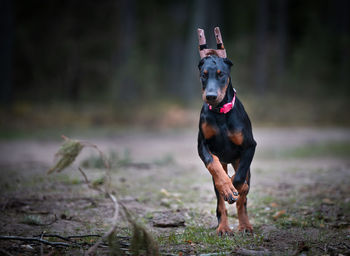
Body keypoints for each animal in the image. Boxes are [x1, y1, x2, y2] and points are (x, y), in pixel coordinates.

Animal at [197, 27, 258, 235]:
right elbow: (211, 162)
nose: (210, 96)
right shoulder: (202, 145)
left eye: (221, 74)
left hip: (241, 162)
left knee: (242, 201)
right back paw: (223, 227)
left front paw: (235, 185)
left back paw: (245, 224)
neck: (220, 113)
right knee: (220, 202)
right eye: (204, 74)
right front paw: (226, 187)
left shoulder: (250, 147)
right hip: (222, 165)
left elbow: (239, 179)